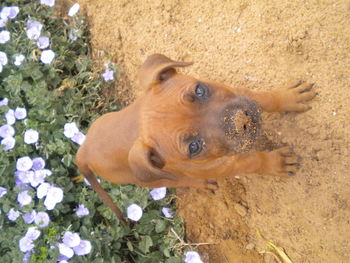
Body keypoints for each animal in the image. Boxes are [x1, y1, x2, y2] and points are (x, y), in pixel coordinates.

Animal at [76, 54, 318, 220]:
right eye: (194, 147)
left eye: (199, 90)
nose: (243, 120)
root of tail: (83, 151)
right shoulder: (228, 165)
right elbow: (253, 161)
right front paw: (275, 163)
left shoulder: (239, 92)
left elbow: (264, 98)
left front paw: (288, 97)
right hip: (152, 178)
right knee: (182, 180)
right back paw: (202, 183)